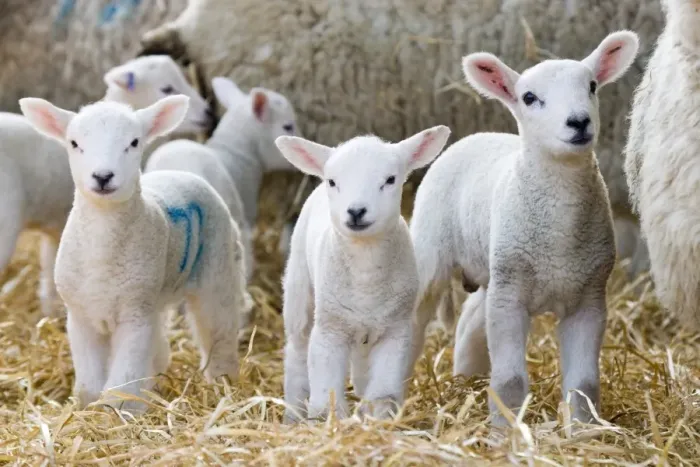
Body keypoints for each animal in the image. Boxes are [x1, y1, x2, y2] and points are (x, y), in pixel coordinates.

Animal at [19, 95, 246, 414]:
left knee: (220, 333)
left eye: (134, 142)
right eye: (74, 143)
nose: (103, 176)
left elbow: (122, 382)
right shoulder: (82, 315)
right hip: (154, 297)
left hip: (218, 270)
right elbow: (89, 385)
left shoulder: (134, 316)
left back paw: (225, 387)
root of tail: (182, 171)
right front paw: (90, 409)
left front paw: (120, 412)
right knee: (161, 348)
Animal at [275, 126, 451, 423]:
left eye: (390, 180)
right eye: (333, 182)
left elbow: (383, 394)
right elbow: (326, 393)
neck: (366, 270)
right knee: (297, 354)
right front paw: (329, 420)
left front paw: (377, 419)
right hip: (300, 291)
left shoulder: (395, 332)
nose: (356, 211)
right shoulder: (329, 330)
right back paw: (293, 414)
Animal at [410, 31, 640, 426]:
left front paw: (583, 429)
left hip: (495, 269)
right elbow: (511, 379)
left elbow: (584, 383)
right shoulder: (510, 300)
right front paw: (507, 429)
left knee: (471, 321)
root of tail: (477, 135)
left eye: (592, 86)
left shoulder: (589, 300)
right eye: (530, 98)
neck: (560, 233)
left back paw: (465, 380)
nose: (579, 122)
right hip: (435, 255)